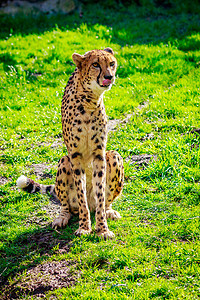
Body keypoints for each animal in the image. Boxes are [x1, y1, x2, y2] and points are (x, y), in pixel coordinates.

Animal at [16, 47, 123, 239]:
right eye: (96, 64)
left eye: (112, 63)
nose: (109, 76)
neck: (90, 100)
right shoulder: (75, 156)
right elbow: (81, 197)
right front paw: (85, 227)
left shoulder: (99, 154)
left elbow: (101, 195)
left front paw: (102, 229)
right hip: (64, 161)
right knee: (67, 205)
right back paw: (62, 218)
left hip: (113, 156)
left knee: (103, 202)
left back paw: (109, 211)